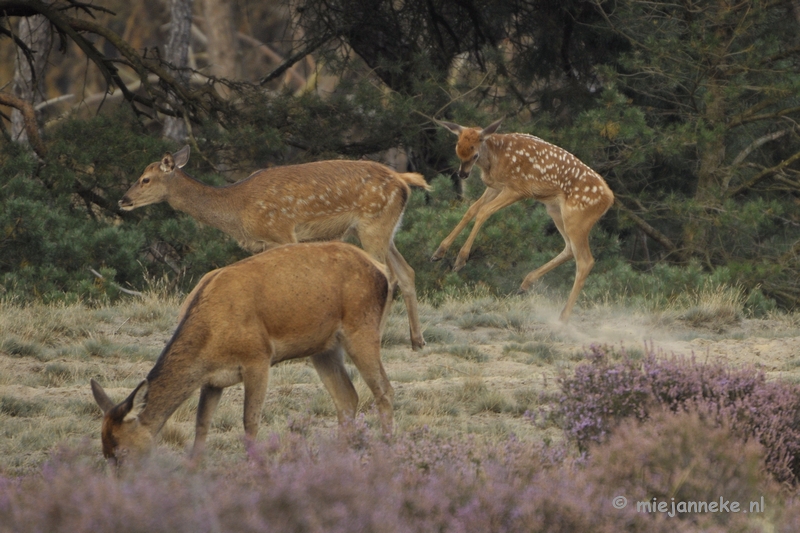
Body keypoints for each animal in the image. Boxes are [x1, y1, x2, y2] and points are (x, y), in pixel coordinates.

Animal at [89, 241, 396, 462]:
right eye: (105, 454)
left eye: (122, 452)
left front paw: (253, 466)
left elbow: (250, 421)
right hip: (324, 347)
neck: (212, 334)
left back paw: (387, 451)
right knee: (347, 398)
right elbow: (202, 424)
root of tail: (382, 270)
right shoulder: (211, 379)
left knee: (383, 389)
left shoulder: (258, 357)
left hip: (363, 327)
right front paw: (194, 469)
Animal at [118, 145, 428, 350]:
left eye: (146, 179)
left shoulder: (282, 232)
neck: (237, 209)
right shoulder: (263, 244)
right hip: (383, 229)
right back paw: (417, 340)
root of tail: (404, 181)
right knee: (407, 272)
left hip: (373, 225)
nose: (123, 199)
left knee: (388, 275)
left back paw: (379, 335)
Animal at [432, 118, 612, 322]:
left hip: (577, 220)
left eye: (475, 153)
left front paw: (461, 260)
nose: (462, 174)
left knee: (585, 261)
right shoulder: (495, 186)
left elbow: (484, 212)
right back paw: (525, 285)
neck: (495, 158)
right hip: (556, 211)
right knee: (569, 249)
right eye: (457, 150)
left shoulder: (518, 188)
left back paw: (562, 317)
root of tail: (609, 199)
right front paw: (439, 252)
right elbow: (470, 211)